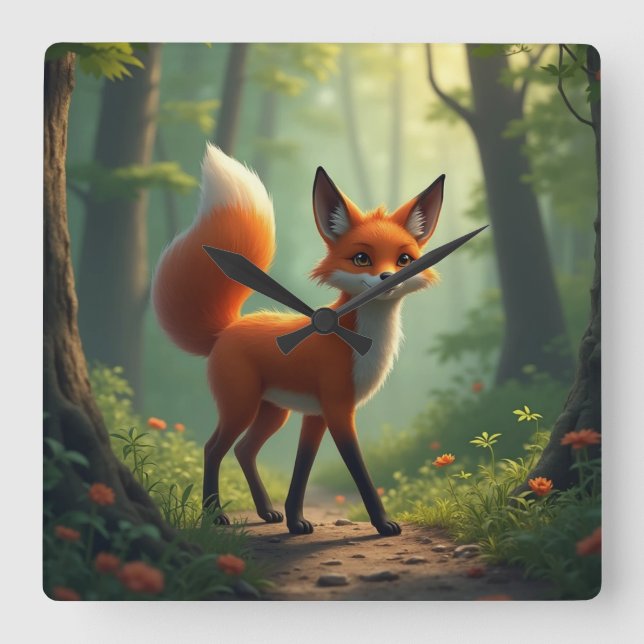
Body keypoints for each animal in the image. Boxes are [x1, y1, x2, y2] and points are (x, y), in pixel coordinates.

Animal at [152, 144, 444, 536]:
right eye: (362, 258)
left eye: (404, 259)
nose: (388, 278)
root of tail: (226, 329)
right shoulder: (338, 410)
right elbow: (359, 469)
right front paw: (382, 523)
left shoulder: (314, 415)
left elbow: (303, 467)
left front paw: (294, 520)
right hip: (241, 405)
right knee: (213, 448)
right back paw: (215, 515)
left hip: (274, 413)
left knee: (244, 450)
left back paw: (266, 512)